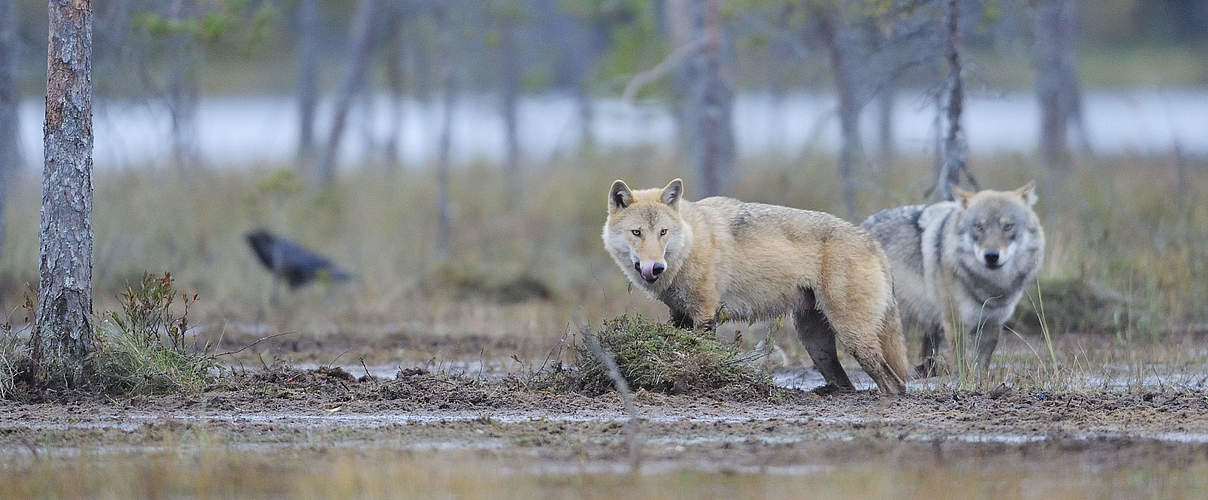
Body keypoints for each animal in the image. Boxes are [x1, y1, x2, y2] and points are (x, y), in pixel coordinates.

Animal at [601, 178, 908, 393]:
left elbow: (698, 356)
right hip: (816, 343)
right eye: (637, 233)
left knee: (895, 384)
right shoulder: (679, 315)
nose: (655, 267)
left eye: (663, 232)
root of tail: (871, 241)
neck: (691, 242)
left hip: (853, 337)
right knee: (848, 383)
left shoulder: (705, 315)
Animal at [860, 181, 1048, 374]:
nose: (991, 256)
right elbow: (962, 364)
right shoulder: (955, 323)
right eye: (979, 227)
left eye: (1008, 226)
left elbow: (983, 368)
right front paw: (964, 380)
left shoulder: (992, 325)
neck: (990, 285)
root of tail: (862, 225)